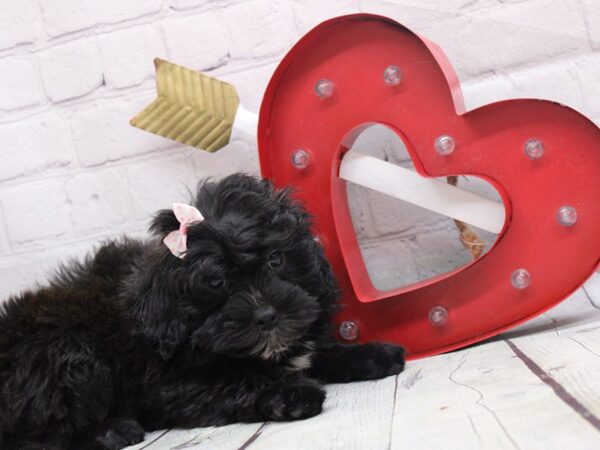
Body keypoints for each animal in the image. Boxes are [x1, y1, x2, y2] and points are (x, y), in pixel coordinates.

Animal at [0, 175, 406, 450]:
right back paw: (114, 431)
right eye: (215, 283)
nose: (266, 315)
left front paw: (371, 354)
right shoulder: (169, 387)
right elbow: (234, 381)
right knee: (34, 438)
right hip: (70, 355)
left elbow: (314, 353)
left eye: (276, 260)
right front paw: (290, 395)